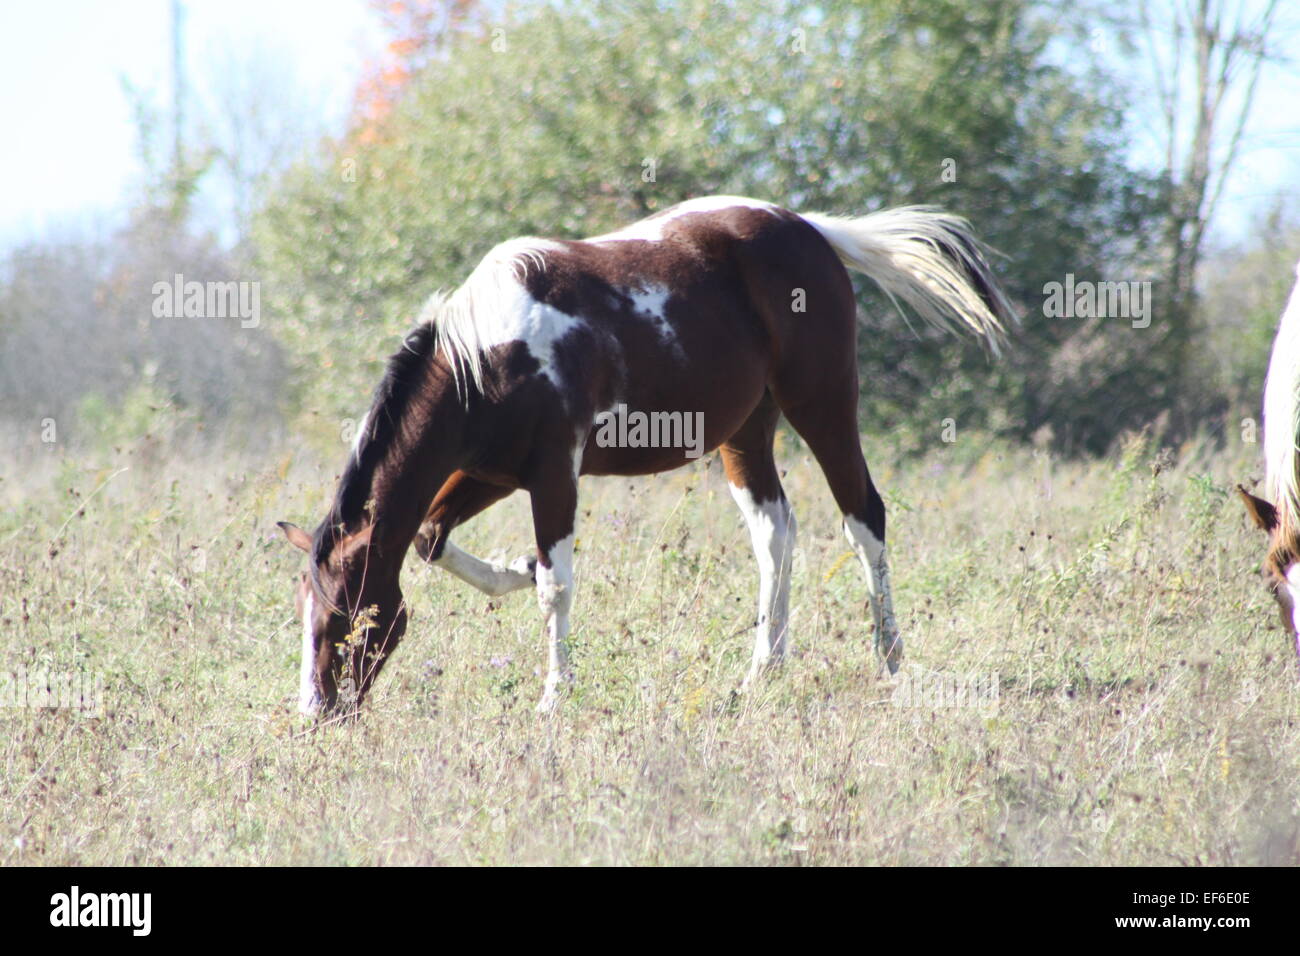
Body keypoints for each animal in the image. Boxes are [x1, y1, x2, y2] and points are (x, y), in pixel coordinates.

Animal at [278, 195, 1016, 716]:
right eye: (306, 616)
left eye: (346, 619)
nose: (317, 714)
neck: (487, 352)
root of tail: (811, 229)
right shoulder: (488, 471)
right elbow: (433, 538)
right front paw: (516, 567)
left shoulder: (554, 472)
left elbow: (556, 586)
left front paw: (555, 695)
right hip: (746, 432)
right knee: (775, 534)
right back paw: (762, 671)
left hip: (823, 404)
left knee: (864, 519)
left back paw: (890, 660)